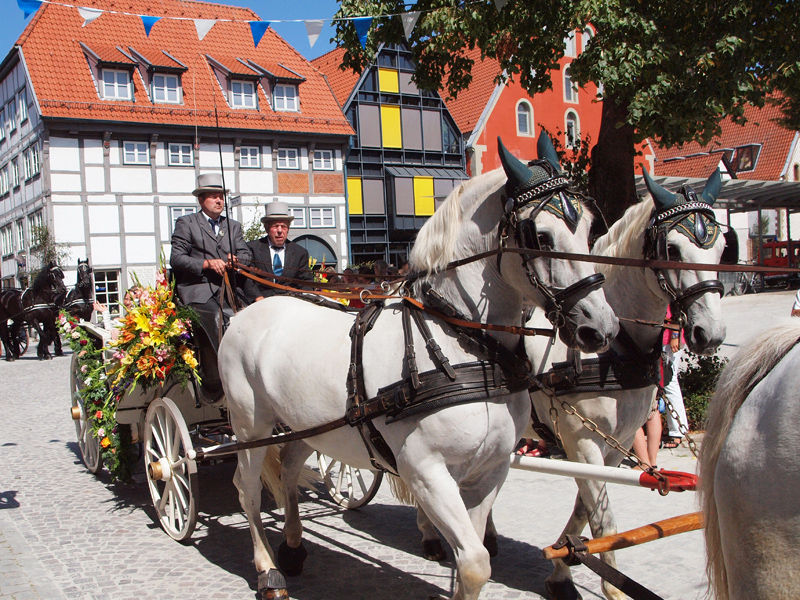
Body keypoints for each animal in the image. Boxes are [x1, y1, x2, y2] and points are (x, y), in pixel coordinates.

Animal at [218, 134, 619, 600]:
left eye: (589, 228)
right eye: (539, 235)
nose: (600, 328)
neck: (462, 344)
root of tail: (244, 312)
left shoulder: (490, 470)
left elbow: (473, 558)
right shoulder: (426, 472)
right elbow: (476, 563)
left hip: (309, 426)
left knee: (288, 470)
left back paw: (294, 548)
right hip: (251, 428)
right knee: (247, 490)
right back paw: (268, 571)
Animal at [521, 169, 729, 600]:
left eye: (721, 248)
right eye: (672, 249)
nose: (712, 334)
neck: (615, 348)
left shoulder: (616, 443)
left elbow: (584, 510)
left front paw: (562, 563)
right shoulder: (581, 440)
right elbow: (604, 521)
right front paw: (613, 587)